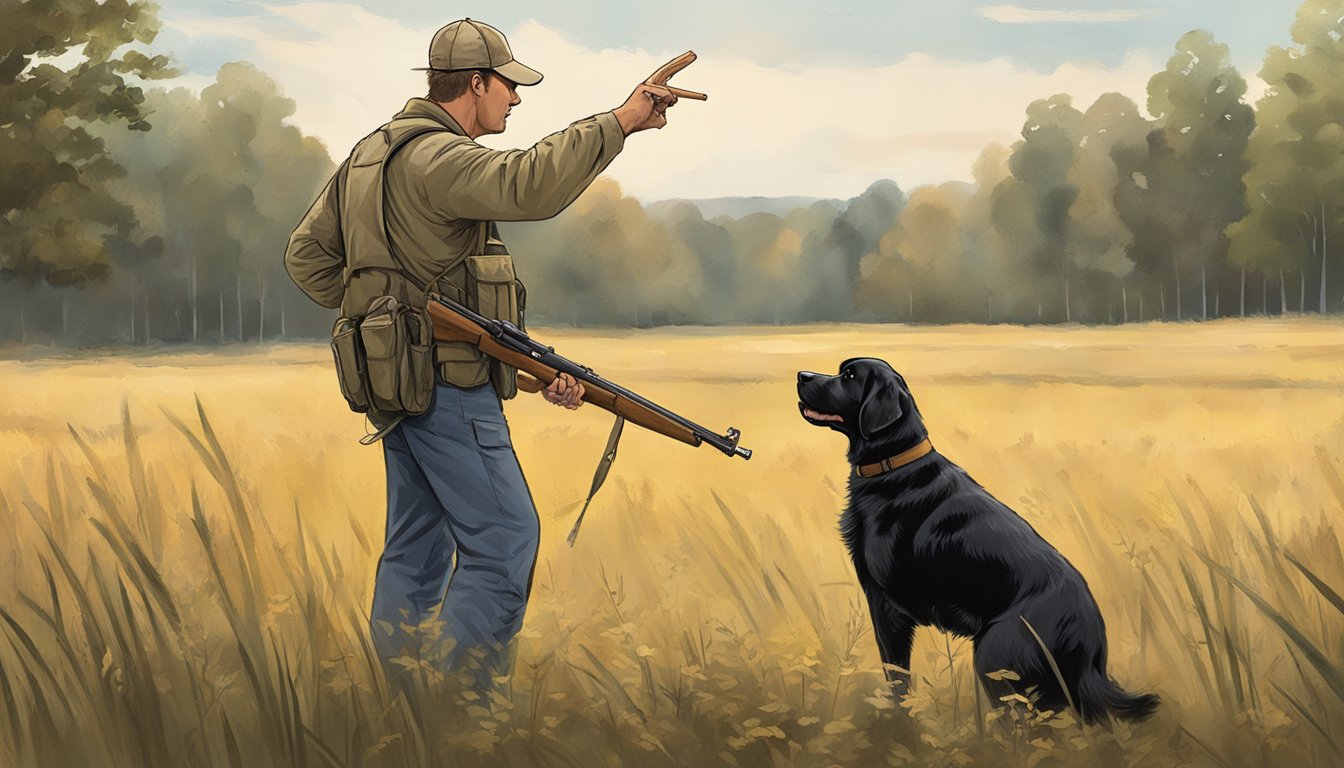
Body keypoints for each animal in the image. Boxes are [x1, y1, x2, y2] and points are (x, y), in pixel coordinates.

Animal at [795, 357, 1155, 726]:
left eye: (849, 375)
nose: (801, 375)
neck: (894, 467)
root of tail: (1088, 643)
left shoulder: (887, 605)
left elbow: (897, 679)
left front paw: (898, 724)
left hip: (993, 658)